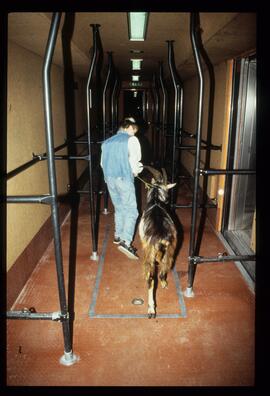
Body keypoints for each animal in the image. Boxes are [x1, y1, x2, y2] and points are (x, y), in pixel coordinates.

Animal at [138, 166, 178, 318]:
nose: (166, 199)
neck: (155, 200)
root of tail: (161, 238)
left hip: (150, 252)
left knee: (151, 279)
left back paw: (151, 309)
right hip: (170, 249)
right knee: (162, 270)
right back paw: (164, 283)